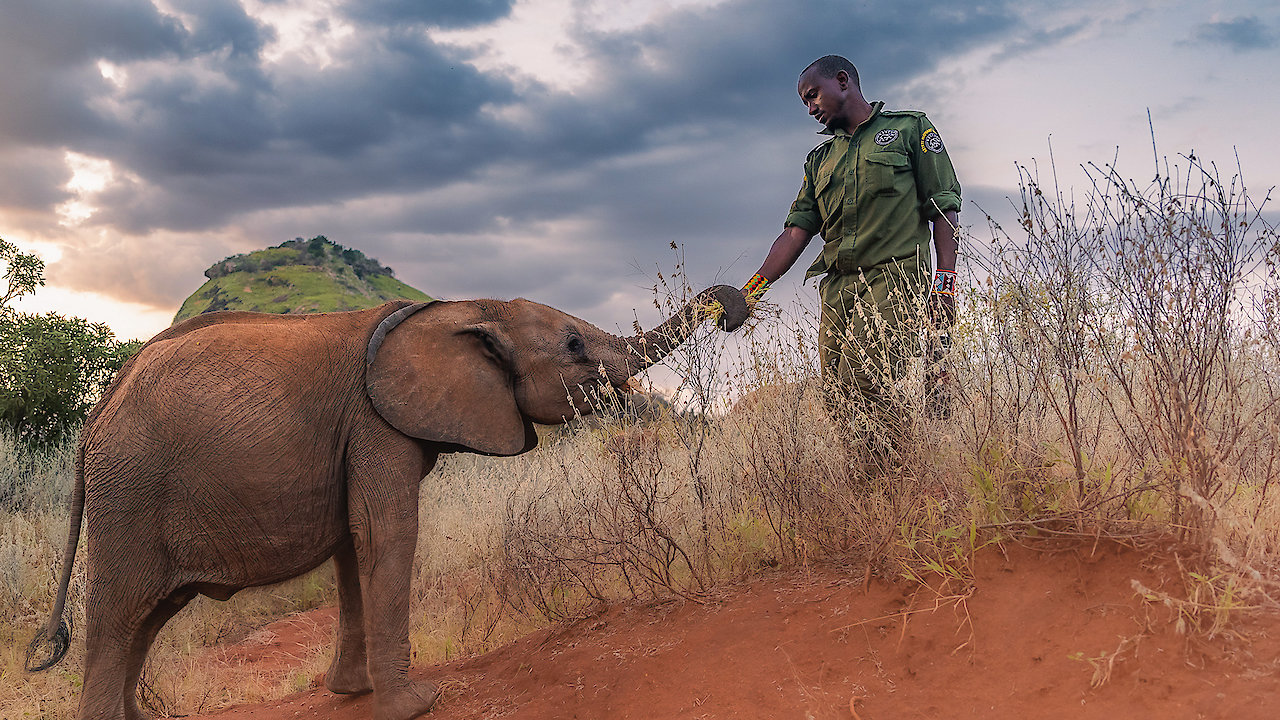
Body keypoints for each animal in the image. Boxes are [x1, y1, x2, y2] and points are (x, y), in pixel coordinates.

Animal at [27, 285, 749, 720]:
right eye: (572, 345)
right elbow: (387, 532)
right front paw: (417, 703)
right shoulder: (376, 423)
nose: (733, 305)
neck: (466, 305)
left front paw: (353, 692)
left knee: (148, 618)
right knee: (122, 614)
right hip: (131, 491)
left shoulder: (358, 435)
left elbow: (356, 542)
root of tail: (94, 419)